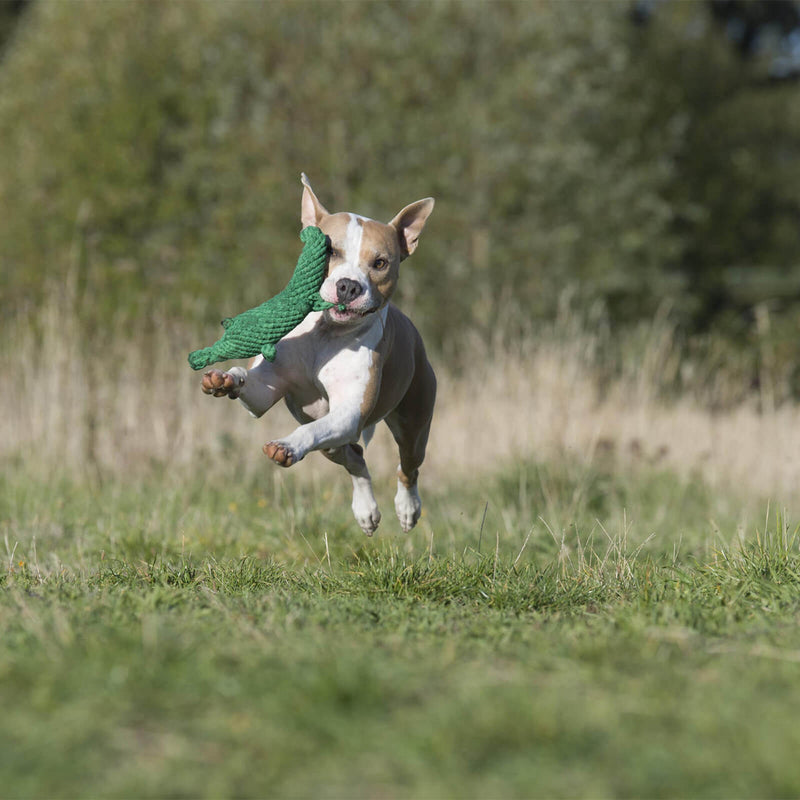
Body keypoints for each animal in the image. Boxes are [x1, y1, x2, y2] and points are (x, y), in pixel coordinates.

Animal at [200, 176, 438, 536]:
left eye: (380, 263)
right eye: (330, 251)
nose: (349, 286)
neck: (326, 333)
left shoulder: (349, 412)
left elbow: (309, 432)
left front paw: (286, 446)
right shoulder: (263, 394)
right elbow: (247, 383)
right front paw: (224, 377)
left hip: (414, 423)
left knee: (408, 467)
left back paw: (407, 509)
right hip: (335, 444)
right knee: (356, 459)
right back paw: (366, 511)